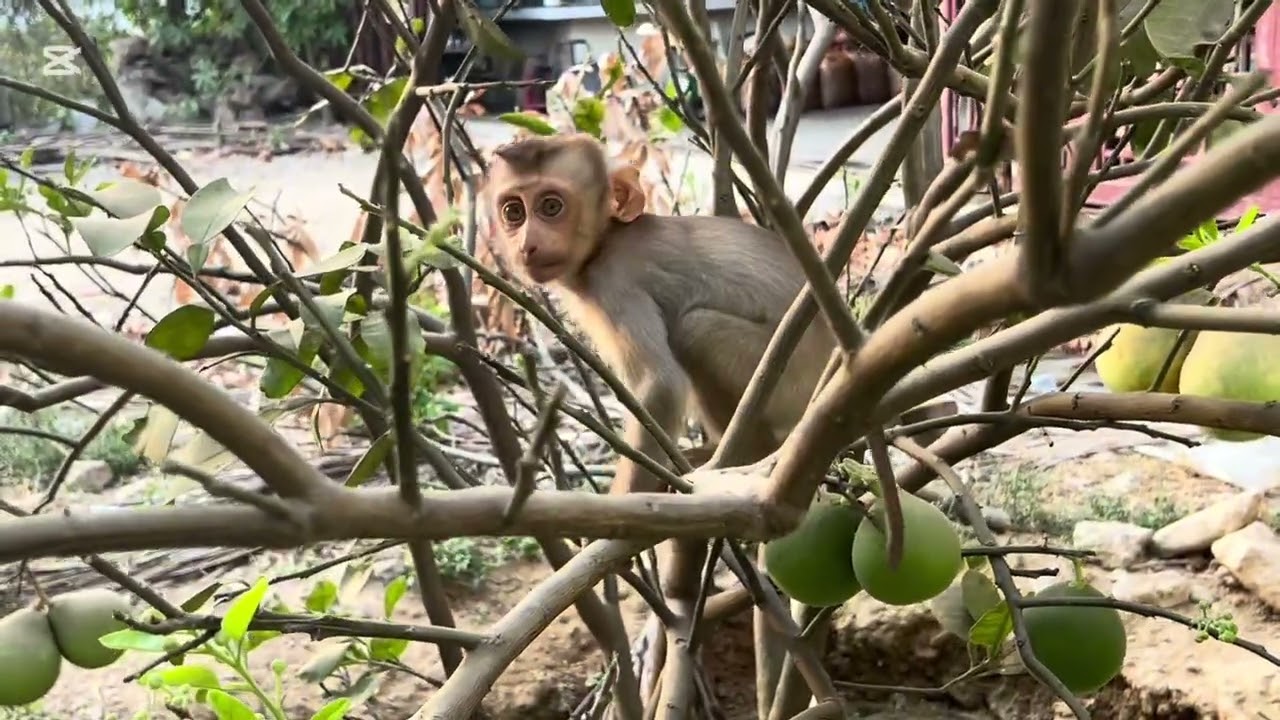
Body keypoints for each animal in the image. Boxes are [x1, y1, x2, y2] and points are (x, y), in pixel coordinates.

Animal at [483, 132, 837, 495]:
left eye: (551, 207)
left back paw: (744, 456)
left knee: (694, 329)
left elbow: (660, 387)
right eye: (514, 212)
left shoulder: (616, 281)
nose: (527, 244)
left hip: (792, 384)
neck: (607, 240)